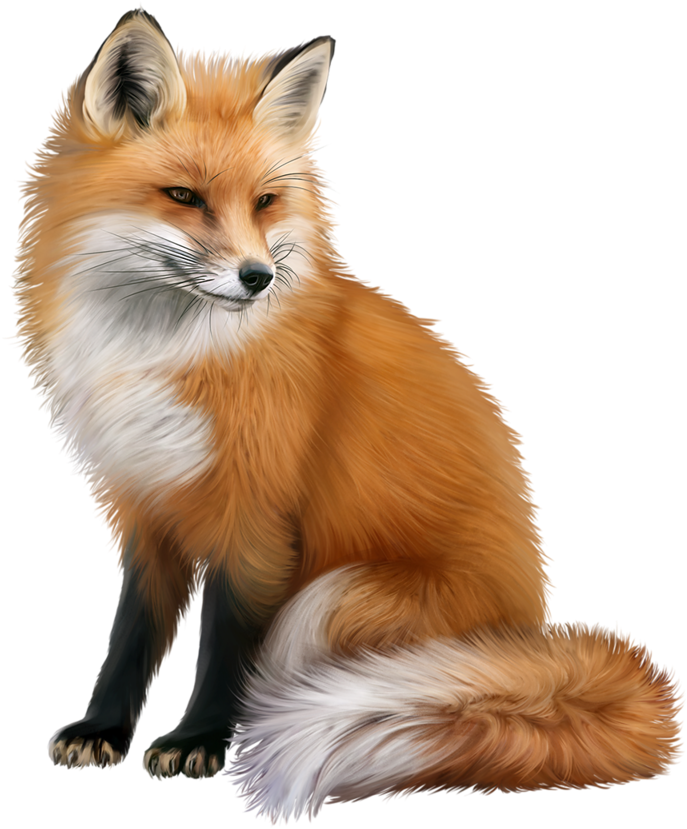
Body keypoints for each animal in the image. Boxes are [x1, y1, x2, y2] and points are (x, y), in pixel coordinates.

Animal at [10, 5, 684, 823]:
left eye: (265, 202)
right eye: (184, 196)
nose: (258, 277)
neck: (161, 353)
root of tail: (532, 630)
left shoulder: (256, 516)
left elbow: (225, 644)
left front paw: (201, 741)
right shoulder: (144, 503)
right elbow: (131, 635)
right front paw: (103, 730)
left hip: (329, 598)